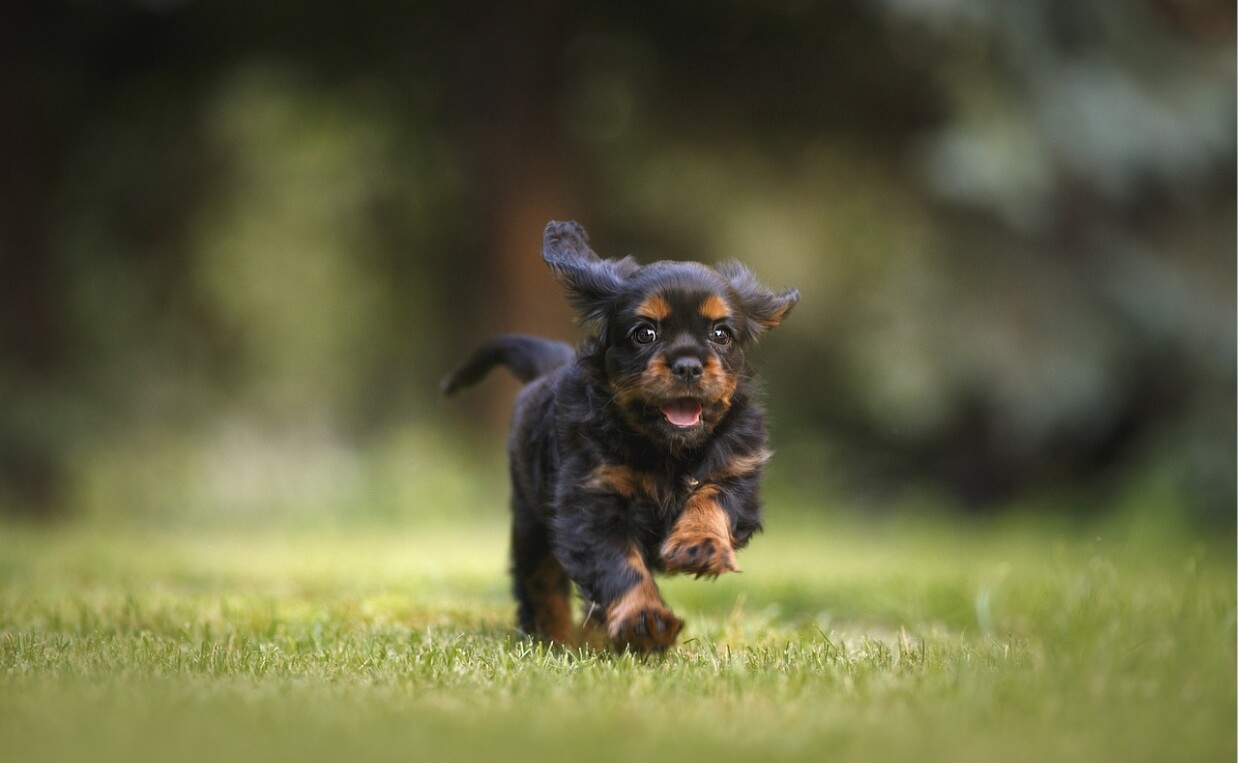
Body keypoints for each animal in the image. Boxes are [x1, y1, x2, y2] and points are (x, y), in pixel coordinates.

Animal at [440, 222, 797, 654]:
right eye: (644, 334)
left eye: (721, 334)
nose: (688, 366)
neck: (667, 450)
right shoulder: (592, 503)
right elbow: (620, 566)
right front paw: (645, 620)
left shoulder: (738, 471)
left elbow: (711, 497)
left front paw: (699, 544)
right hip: (531, 523)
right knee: (540, 585)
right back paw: (557, 639)